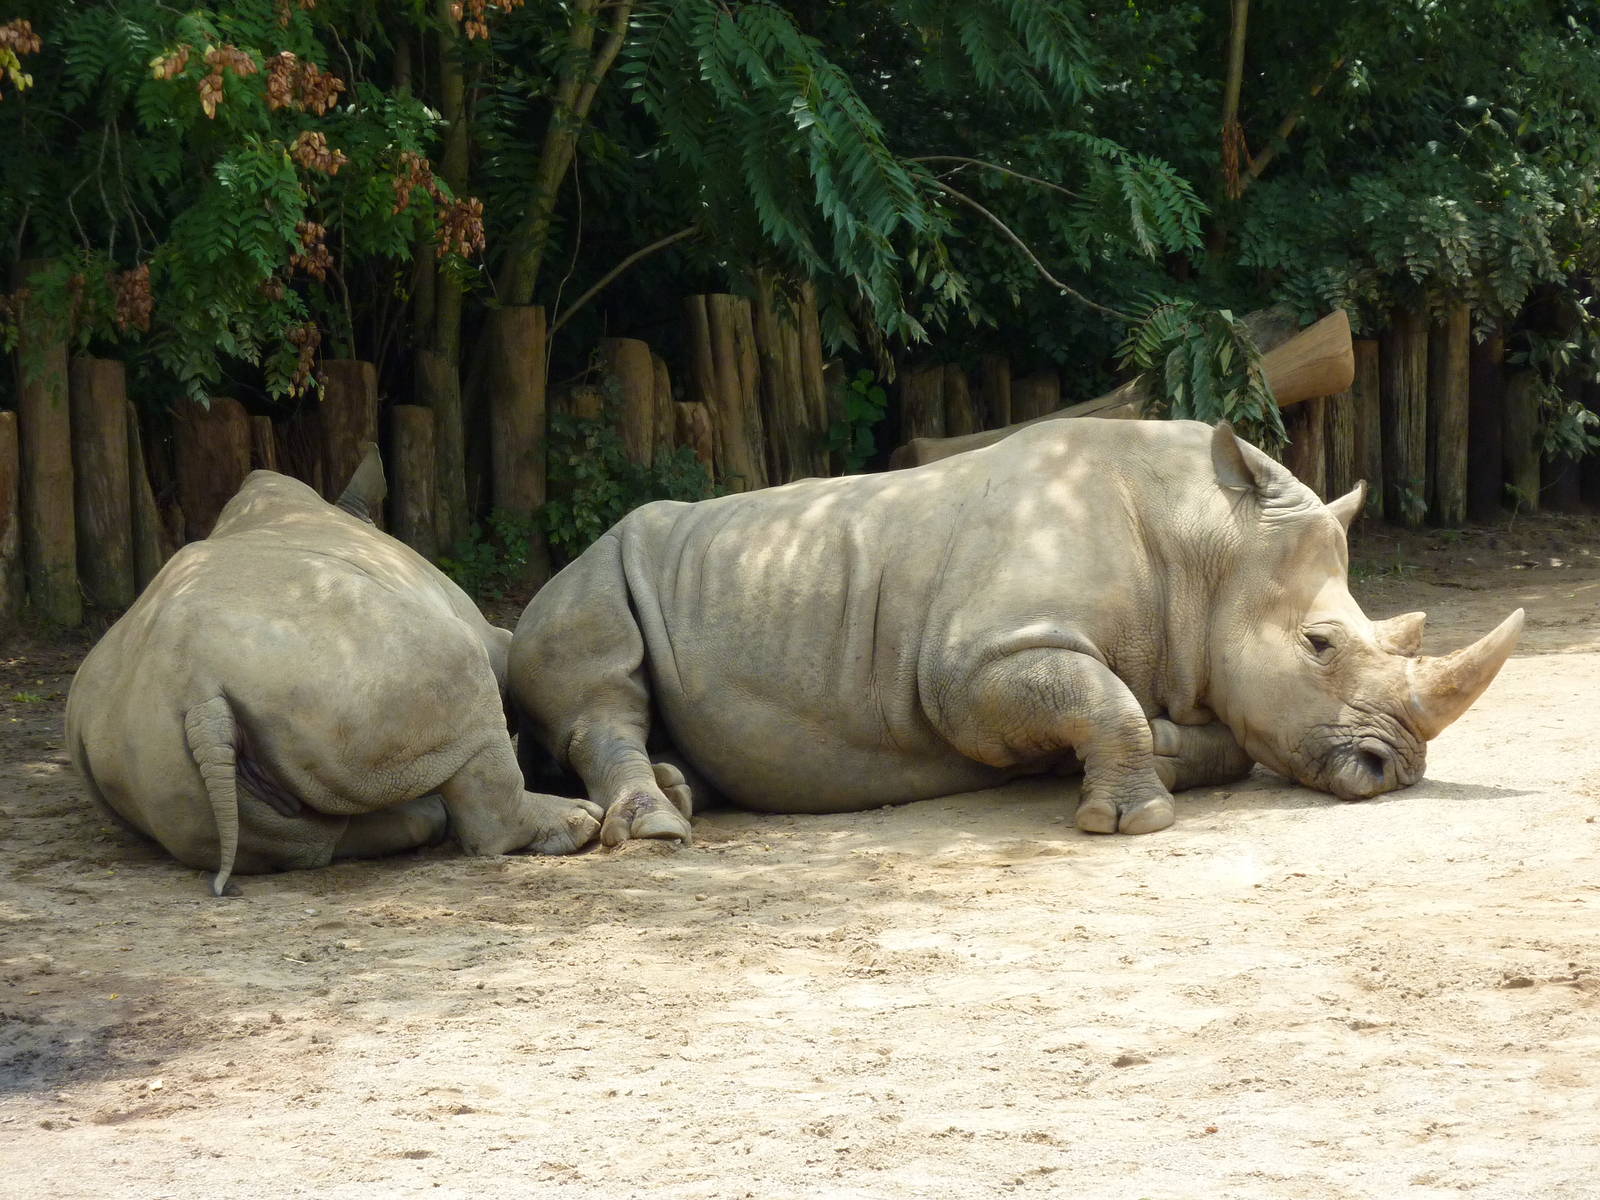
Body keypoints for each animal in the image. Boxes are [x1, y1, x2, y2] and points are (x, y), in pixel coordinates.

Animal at [66, 447, 601, 896]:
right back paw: (577, 823)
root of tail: (196, 693)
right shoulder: (477, 628)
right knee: (461, 678)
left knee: (292, 839)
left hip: (148, 752)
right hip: (353, 654)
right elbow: (508, 658)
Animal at [508, 418, 1522, 845]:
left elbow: (1214, 733)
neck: (1208, 545)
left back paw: (683, 794)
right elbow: (1099, 699)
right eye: (1320, 646)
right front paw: (1136, 817)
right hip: (589, 573)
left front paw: (1165, 752)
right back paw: (657, 829)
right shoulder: (969, 668)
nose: (1396, 770)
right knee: (596, 676)